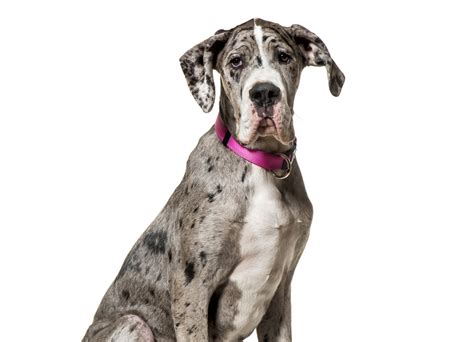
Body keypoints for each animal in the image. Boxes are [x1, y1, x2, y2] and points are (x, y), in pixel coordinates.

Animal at [83, 18, 344, 342]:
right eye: (236, 61)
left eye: (284, 57)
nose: (264, 93)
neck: (261, 165)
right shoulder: (191, 287)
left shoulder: (281, 290)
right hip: (134, 323)